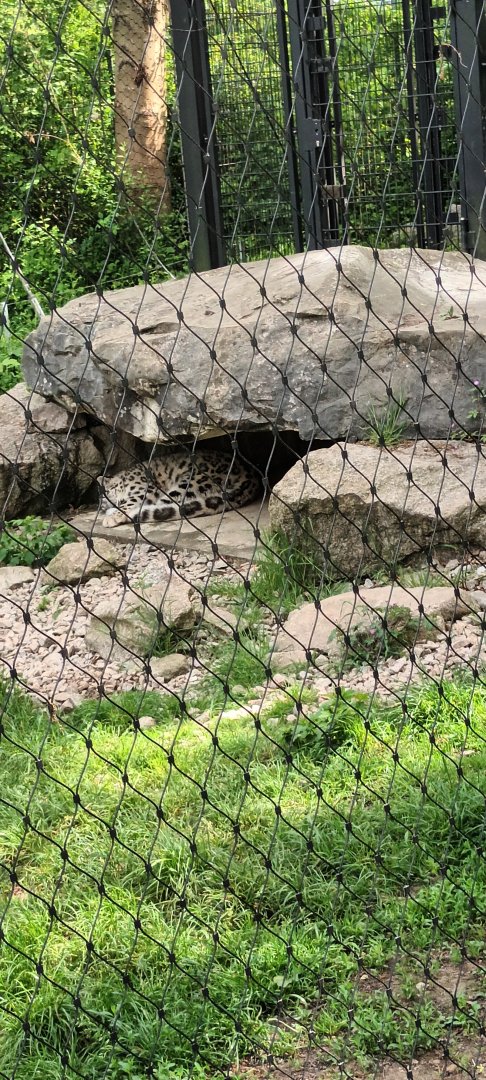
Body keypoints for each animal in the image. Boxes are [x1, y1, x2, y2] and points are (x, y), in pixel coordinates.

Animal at [98, 448, 261, 527]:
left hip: (190, 482)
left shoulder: (142, 488)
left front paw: (111, 517)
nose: (103, 507)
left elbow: (129, 502)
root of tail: (251, 476)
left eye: (105, 494)